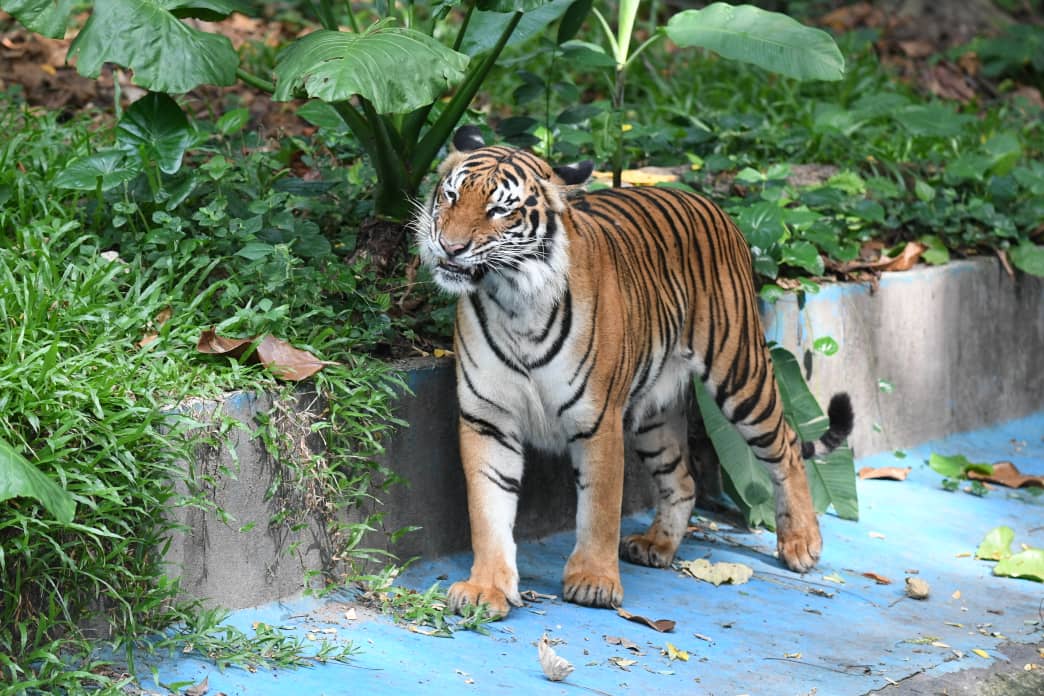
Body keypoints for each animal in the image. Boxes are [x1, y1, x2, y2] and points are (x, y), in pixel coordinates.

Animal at [411, 126, 851, 621]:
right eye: (450, 195)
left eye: (500, 210)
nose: (450, 247)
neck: (513, 299)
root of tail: (708, 202)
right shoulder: (488, 418)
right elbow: (488, 509)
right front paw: (486, 588)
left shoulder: (597, 420)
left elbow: (600, 508)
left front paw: (593, 580)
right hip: (654, 414)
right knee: (682, 481)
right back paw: (656, 544)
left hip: (742, 374)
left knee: (787, 448)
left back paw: (801, 543)